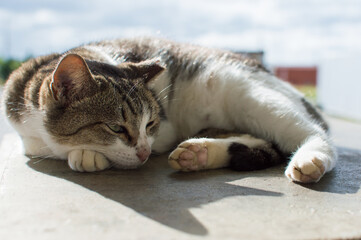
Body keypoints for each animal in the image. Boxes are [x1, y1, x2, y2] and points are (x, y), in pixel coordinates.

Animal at [2, 37, 334, 184]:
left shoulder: (165, 131)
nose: (145, 153)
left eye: (150, 124)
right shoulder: (23, 132)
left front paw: (85, 154)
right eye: (116, 127)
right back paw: (197, 154)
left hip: (252, 95)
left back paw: (310, 160)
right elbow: (36, 147)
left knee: (314, 135)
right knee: (258, 140)